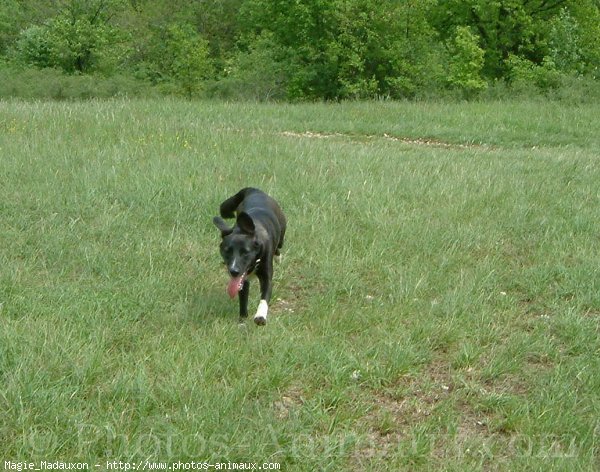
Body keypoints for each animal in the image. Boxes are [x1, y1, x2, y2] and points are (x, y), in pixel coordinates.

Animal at [212, 188, 288, 324]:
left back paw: (278, 258)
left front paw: (260, 316)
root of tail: (254, 190)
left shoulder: (266, 275)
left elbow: (264, 297)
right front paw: (242, 320)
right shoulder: (242, 279)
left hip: (281, 232)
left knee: (279, 247)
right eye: (227, 251)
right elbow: (243, 297)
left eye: (245, 252)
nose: (233, 271)